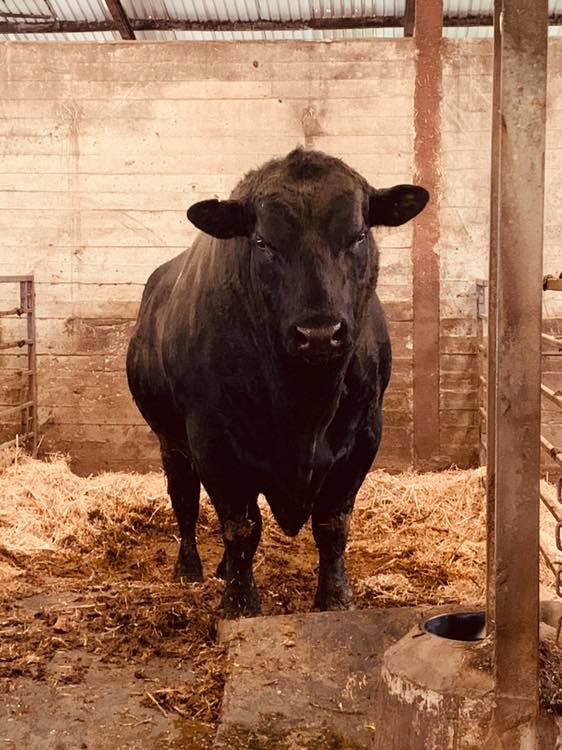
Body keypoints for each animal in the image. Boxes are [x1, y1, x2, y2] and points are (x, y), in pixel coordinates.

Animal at [126, 148, 428, 618]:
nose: (319, 333)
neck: (303, 406)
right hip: (170, 441)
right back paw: (190, 569)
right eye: (263, 243)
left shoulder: (365, 434)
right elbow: (240, 524)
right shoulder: (211, 439)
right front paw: (240, 603)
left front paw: (335, 599)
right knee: (185, 501)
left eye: (359, 235)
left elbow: (332, 522)